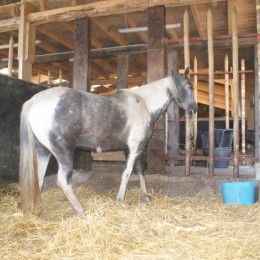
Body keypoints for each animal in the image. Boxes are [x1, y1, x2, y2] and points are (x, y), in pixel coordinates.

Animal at [18, 66, 197, 214]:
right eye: (189, 87)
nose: (193, 109)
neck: (144, 103)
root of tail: (34, 101)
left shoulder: (131, 149)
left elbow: (139, 171)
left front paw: (145, 196)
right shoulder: (136, 148)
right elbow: (127, 172)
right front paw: (120, 199)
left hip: (43, 151)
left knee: (39, 180)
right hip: (64, 153)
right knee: (63, 182)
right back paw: (81, 210)